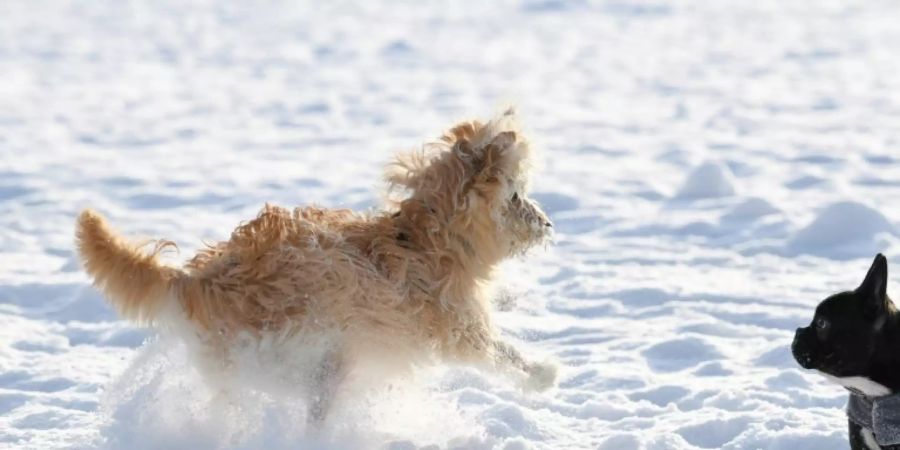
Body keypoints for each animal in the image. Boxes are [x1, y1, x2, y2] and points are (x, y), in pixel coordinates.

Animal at [75, 110, 556, 422]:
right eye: (516, 195)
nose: (548, 224)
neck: (426, 240)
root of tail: (199, 281)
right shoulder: (462, 328)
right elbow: (503, 353)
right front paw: (543, 374)